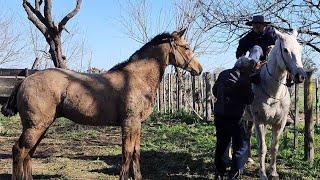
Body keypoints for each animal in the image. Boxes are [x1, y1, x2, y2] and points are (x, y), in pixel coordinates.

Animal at [1, 28, 202, 179]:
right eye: (186, 46)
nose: (198, 69)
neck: (135, 78)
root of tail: (26, 79)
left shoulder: (137, 125)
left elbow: (136, 153)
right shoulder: (129, 123)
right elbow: (127, 153)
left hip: (40, 127)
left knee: (28, 153)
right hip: (35, 127)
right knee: (19, 150)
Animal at [249, 29, 306, 179]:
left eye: (300, 49)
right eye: (285, 50)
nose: (301, 76)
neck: (273, 93)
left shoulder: (279, 123)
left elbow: (274, 147)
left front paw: (273, 172)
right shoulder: (260, 121)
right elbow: (262, 147)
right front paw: (262, 173)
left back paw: (248, 158)